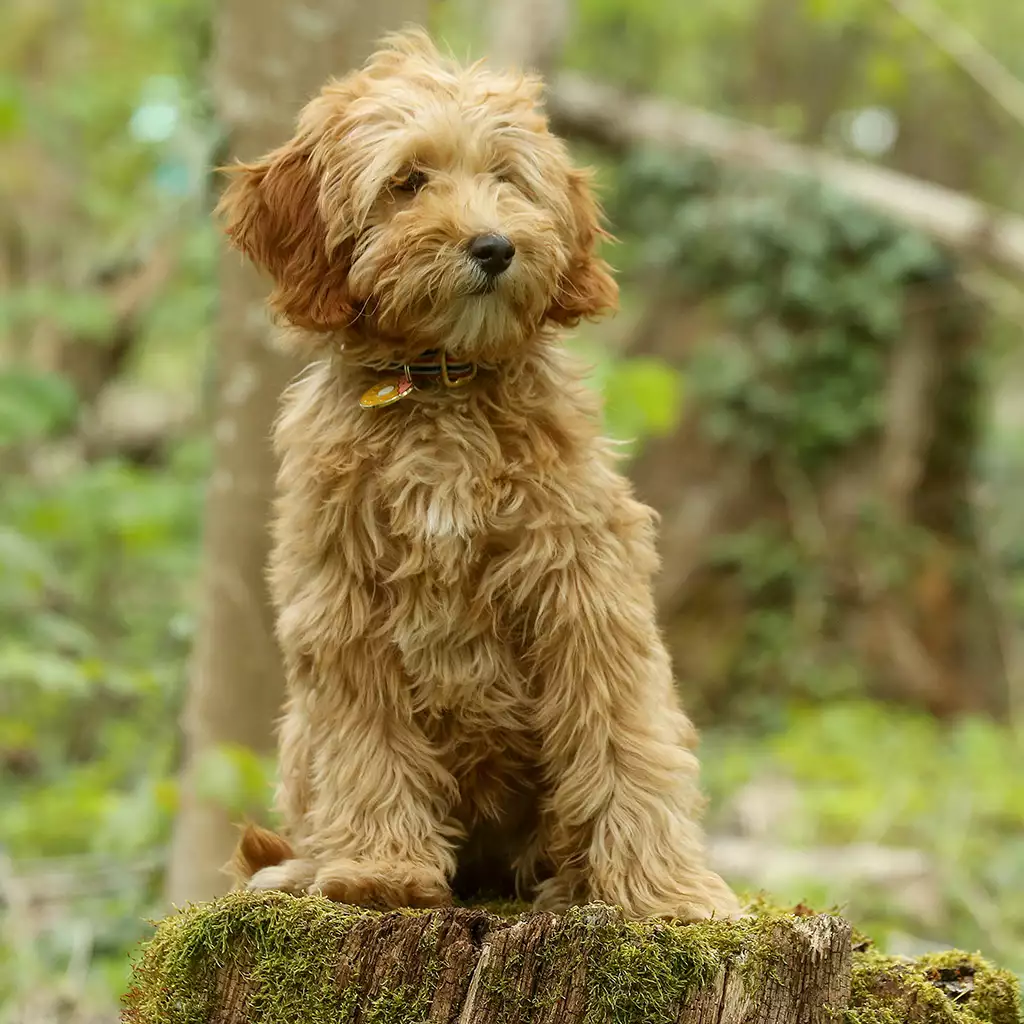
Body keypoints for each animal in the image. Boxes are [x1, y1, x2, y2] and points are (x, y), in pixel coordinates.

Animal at [220, 25, 741, 921]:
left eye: (506, 177)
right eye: (407, 182)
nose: (494, 246)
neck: (443, 385)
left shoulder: (584, 587)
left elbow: (623, 736)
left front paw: (668, 891)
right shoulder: (343, 603)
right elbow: (369, 740)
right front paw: (380, 869)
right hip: (299, 735)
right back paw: (303, 869)